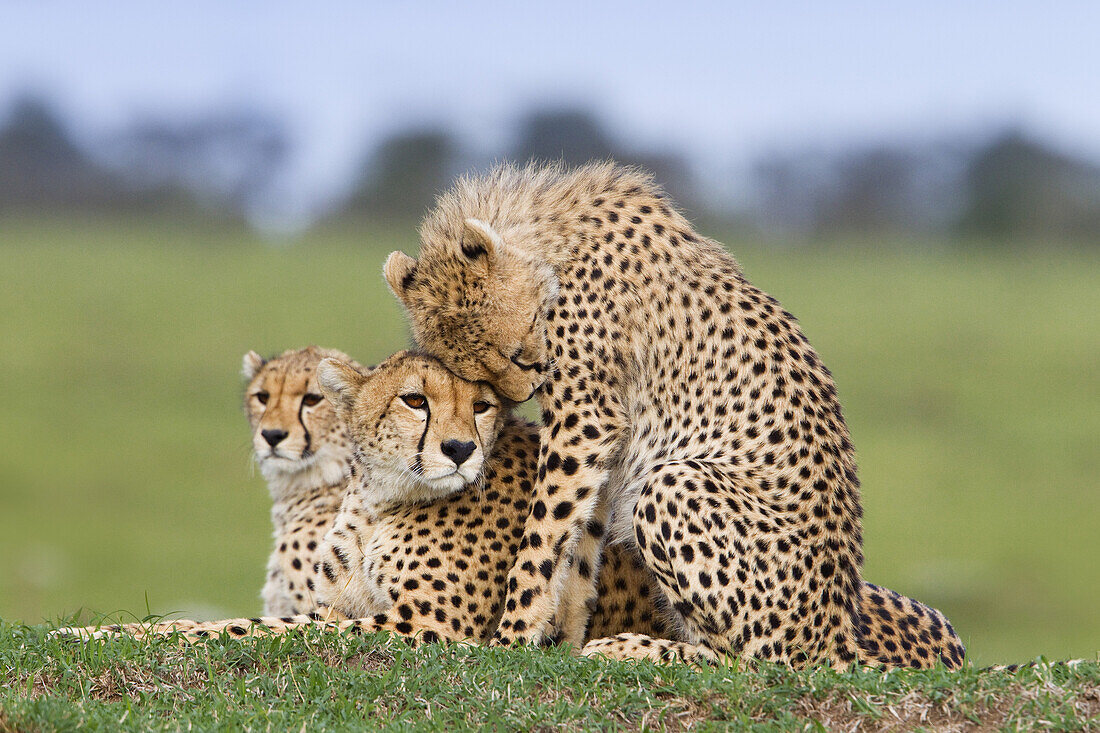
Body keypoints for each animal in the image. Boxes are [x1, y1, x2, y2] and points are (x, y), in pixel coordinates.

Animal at [382, 162, 897, 664]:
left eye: (516, 353)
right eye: (479, 375)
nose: (527, 387)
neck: (556, 240)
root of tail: (836, 635)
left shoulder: (583, 423)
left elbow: (543, 535)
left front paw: (512, 637)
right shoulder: (604, 444)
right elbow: (580, 542)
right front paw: (562, 643)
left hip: (676, 483)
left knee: (748, 660)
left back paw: (630, 647)